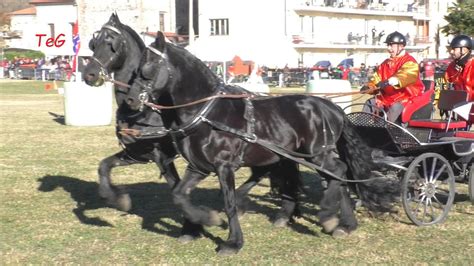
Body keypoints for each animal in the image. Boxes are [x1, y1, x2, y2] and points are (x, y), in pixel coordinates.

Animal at [82, 14, 302, 239]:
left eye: (111, 43)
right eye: (94, 43)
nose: (89, 74)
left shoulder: (162, 156)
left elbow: (175, 189)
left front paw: (192, 226)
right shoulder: (137, 153)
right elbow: (104, 166)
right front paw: (117, 199)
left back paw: (283, 211)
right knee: (267, 171)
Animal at [126, 32, 400, 255]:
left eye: (149, 66)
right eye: (136, 66)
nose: (129, 99)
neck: (206, 112)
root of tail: (331, 107)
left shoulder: (224, 166)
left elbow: (229, 202)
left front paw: (233, 242)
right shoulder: (198, 167)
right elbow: (179, 195)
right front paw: (202, 220)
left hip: (316, 154)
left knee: (339, 171)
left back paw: (328, 215)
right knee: (337, 177)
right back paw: (345, 224)